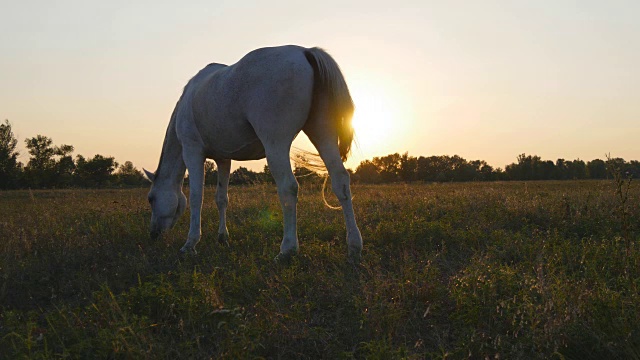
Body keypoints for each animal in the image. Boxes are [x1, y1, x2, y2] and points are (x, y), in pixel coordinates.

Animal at [146, 46, 364, 262]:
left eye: (151, 198)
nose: (153, 234)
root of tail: (305, 52)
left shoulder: (192, 151)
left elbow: (196, 197)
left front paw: (190, 244)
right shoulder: (223, 159)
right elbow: (221, 198)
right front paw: (222, 237)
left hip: (276, 145)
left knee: (288, 188)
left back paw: (287, 249)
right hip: (323, 134)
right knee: (340, 181)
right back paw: (354, 246)